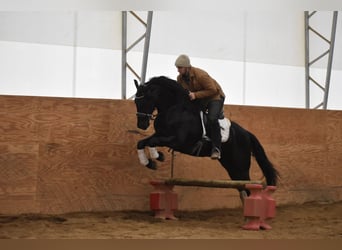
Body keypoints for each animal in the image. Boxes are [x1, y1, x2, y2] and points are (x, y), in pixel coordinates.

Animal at [134, 76, 278, 197]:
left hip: (240, 166)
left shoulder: (177, 141)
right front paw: (151, 161)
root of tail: (247, 134)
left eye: (146, 100)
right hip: (231, 166)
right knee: (242, 188)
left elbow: (152, 141)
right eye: (135, 101)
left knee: (248, 187)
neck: (174, 109)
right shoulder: (161, 134)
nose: (141, 125)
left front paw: (156, 157)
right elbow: (142, 142)